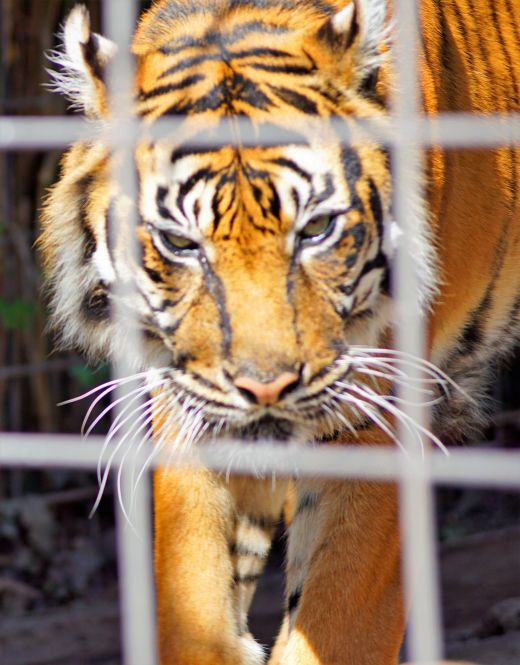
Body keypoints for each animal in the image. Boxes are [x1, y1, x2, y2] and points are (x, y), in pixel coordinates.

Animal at [39, 0, 520, 660]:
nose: (265, 388)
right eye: (181, 243)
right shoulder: (188, 416)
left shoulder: (373, 421)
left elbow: (339, 624)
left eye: (315, 230)